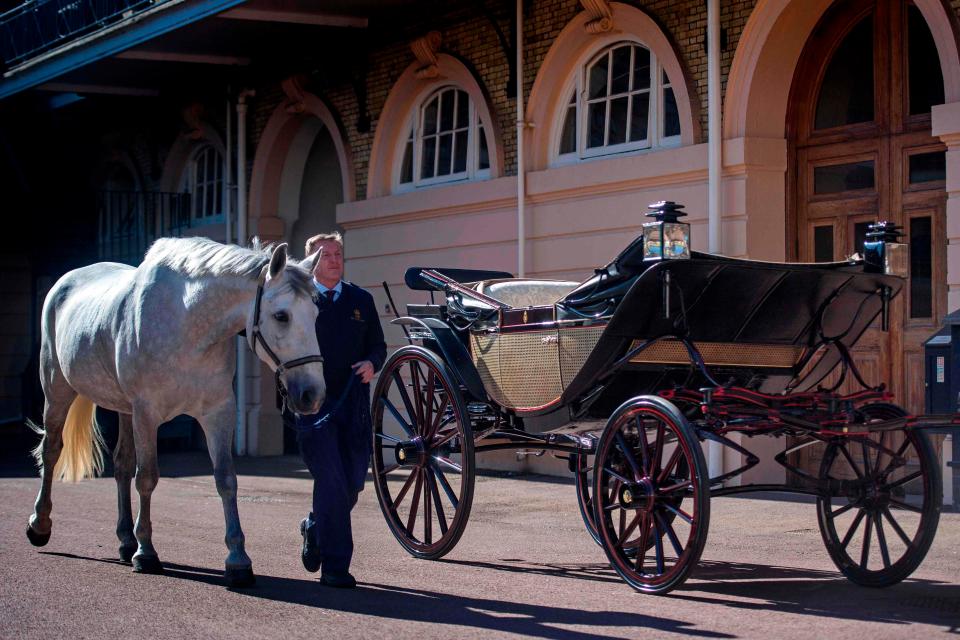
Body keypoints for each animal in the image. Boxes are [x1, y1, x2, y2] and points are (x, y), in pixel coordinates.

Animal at [25, 238, 326, 588]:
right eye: (281, 315)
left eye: (315, 313)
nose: (312, 394)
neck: (187, 323)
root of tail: (65, 281)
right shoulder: (146, 412)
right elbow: (147, 478)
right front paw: (146, 553)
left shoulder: (217, 412)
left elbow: (226, 480)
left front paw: (238, 560)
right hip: (58, 390)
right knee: (51, 450)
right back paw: (40, 524)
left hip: (124, 410)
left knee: (121, 464)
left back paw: (125, 540)